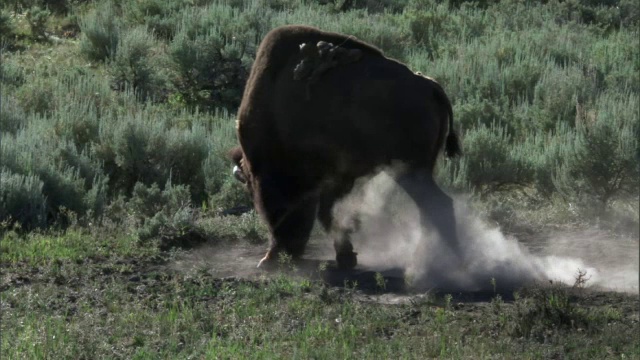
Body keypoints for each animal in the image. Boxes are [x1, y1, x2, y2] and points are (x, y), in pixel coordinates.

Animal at [230, 24, 460, 268]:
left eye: (254, 190)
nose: (286, 251)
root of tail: (430, 86)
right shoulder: (340, 179)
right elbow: (330, 214)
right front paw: (346, 257)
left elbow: (328, 215)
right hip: (418, 169)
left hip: (409, 170)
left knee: (437, 205)